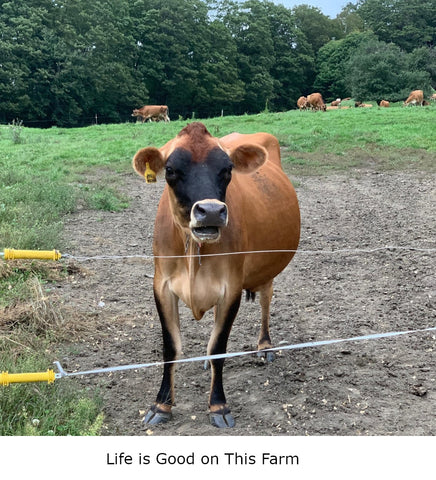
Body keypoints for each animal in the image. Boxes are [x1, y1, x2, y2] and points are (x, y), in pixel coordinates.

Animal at [134, 121, 300, 428]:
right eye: (170, 169)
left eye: (228, 169)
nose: (210, 211)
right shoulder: (161, 286)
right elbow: (171, 348)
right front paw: (161, 404)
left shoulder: (231, 289)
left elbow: (218, 347)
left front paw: (218, 405)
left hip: (268, 268)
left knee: (266, 300)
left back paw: (265, 346)